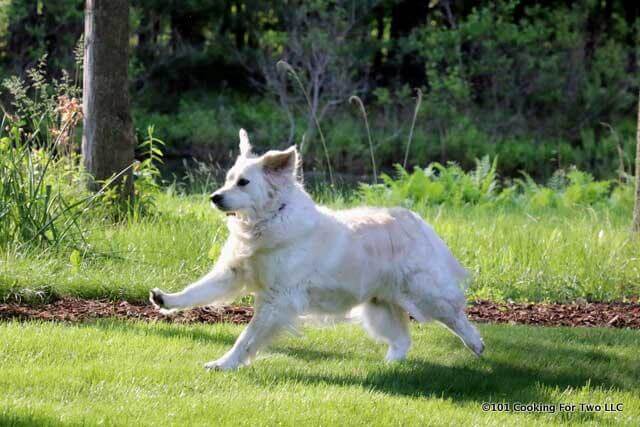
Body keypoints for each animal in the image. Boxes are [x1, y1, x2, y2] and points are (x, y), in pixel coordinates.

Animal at [149, 130, 480, 372]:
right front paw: (165, 299)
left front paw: (225, 364)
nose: (214, 197)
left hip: (426, 294)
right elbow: (197, 291)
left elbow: (246, 337)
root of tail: (416, 220)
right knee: (402, 340)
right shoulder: (233, 274)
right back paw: (388, 366)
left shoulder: (277, 300)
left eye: (243, 183)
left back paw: (477, 345)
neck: (269, 220)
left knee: (456, 316)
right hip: (379, 306)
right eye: (228, 179)